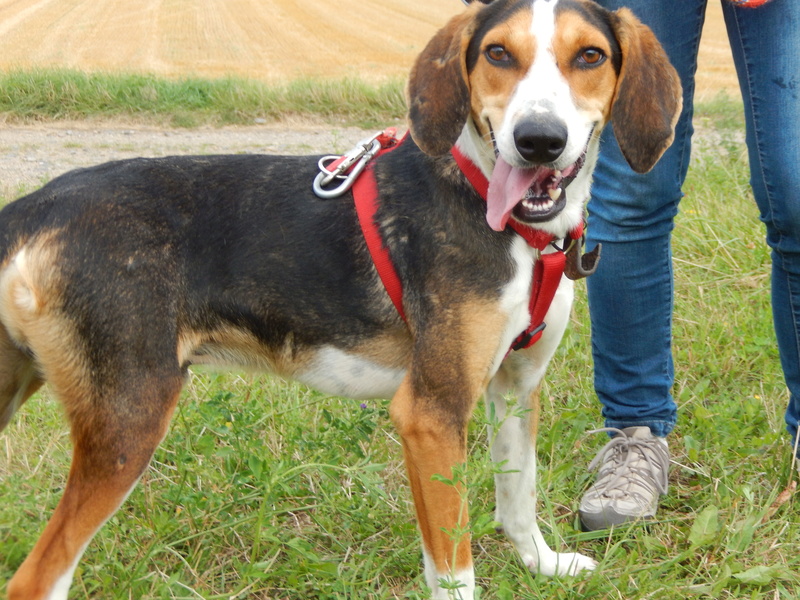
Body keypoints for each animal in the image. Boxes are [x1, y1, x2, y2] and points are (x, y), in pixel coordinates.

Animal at [1, 1, 680, 600]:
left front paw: (543, 565)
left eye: (589, 56)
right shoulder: (430, 414)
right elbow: (454, 567)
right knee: (35, 579)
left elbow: (518, 498)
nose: (539, 140)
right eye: (497, 53)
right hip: (129, 419)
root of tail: (36, 205)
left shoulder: (515, 387)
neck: (503, 212)